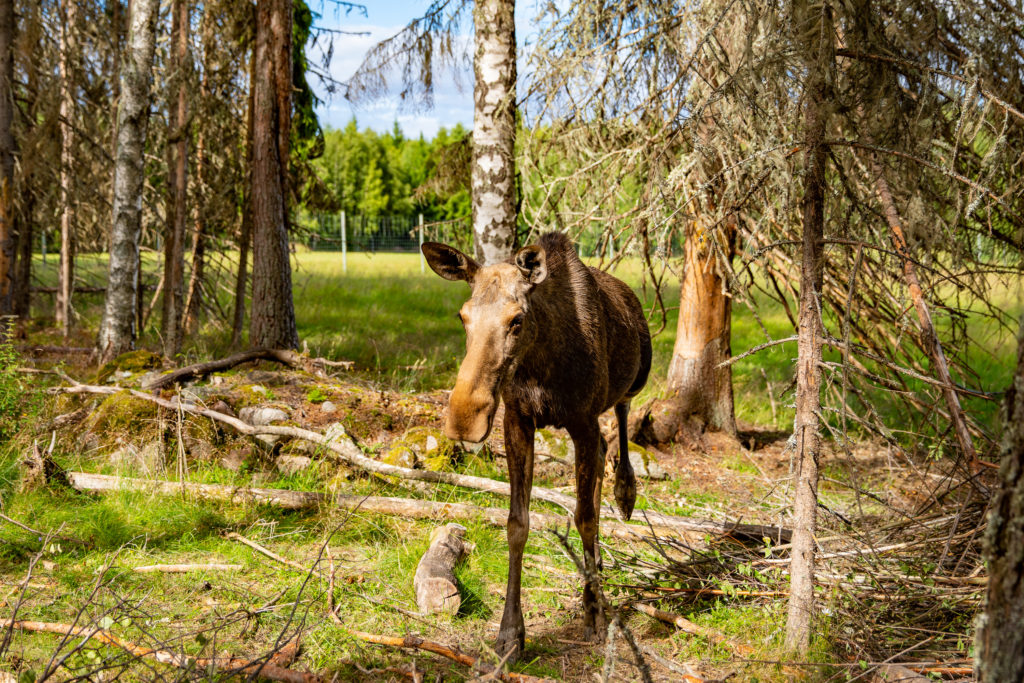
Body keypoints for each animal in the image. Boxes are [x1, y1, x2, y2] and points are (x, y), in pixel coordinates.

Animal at [421, 232, 647, 659]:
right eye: (462, 316)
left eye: (517, 320)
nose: (464, 418)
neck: (543, 361)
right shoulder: (518, 420)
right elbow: (518, 523)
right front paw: (510, 632)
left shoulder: (583, 420)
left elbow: (584, 517)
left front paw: (594, 614)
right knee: (599, 464)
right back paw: (598, 562)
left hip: (636, 377)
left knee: (623, 413)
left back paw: (626, 491)